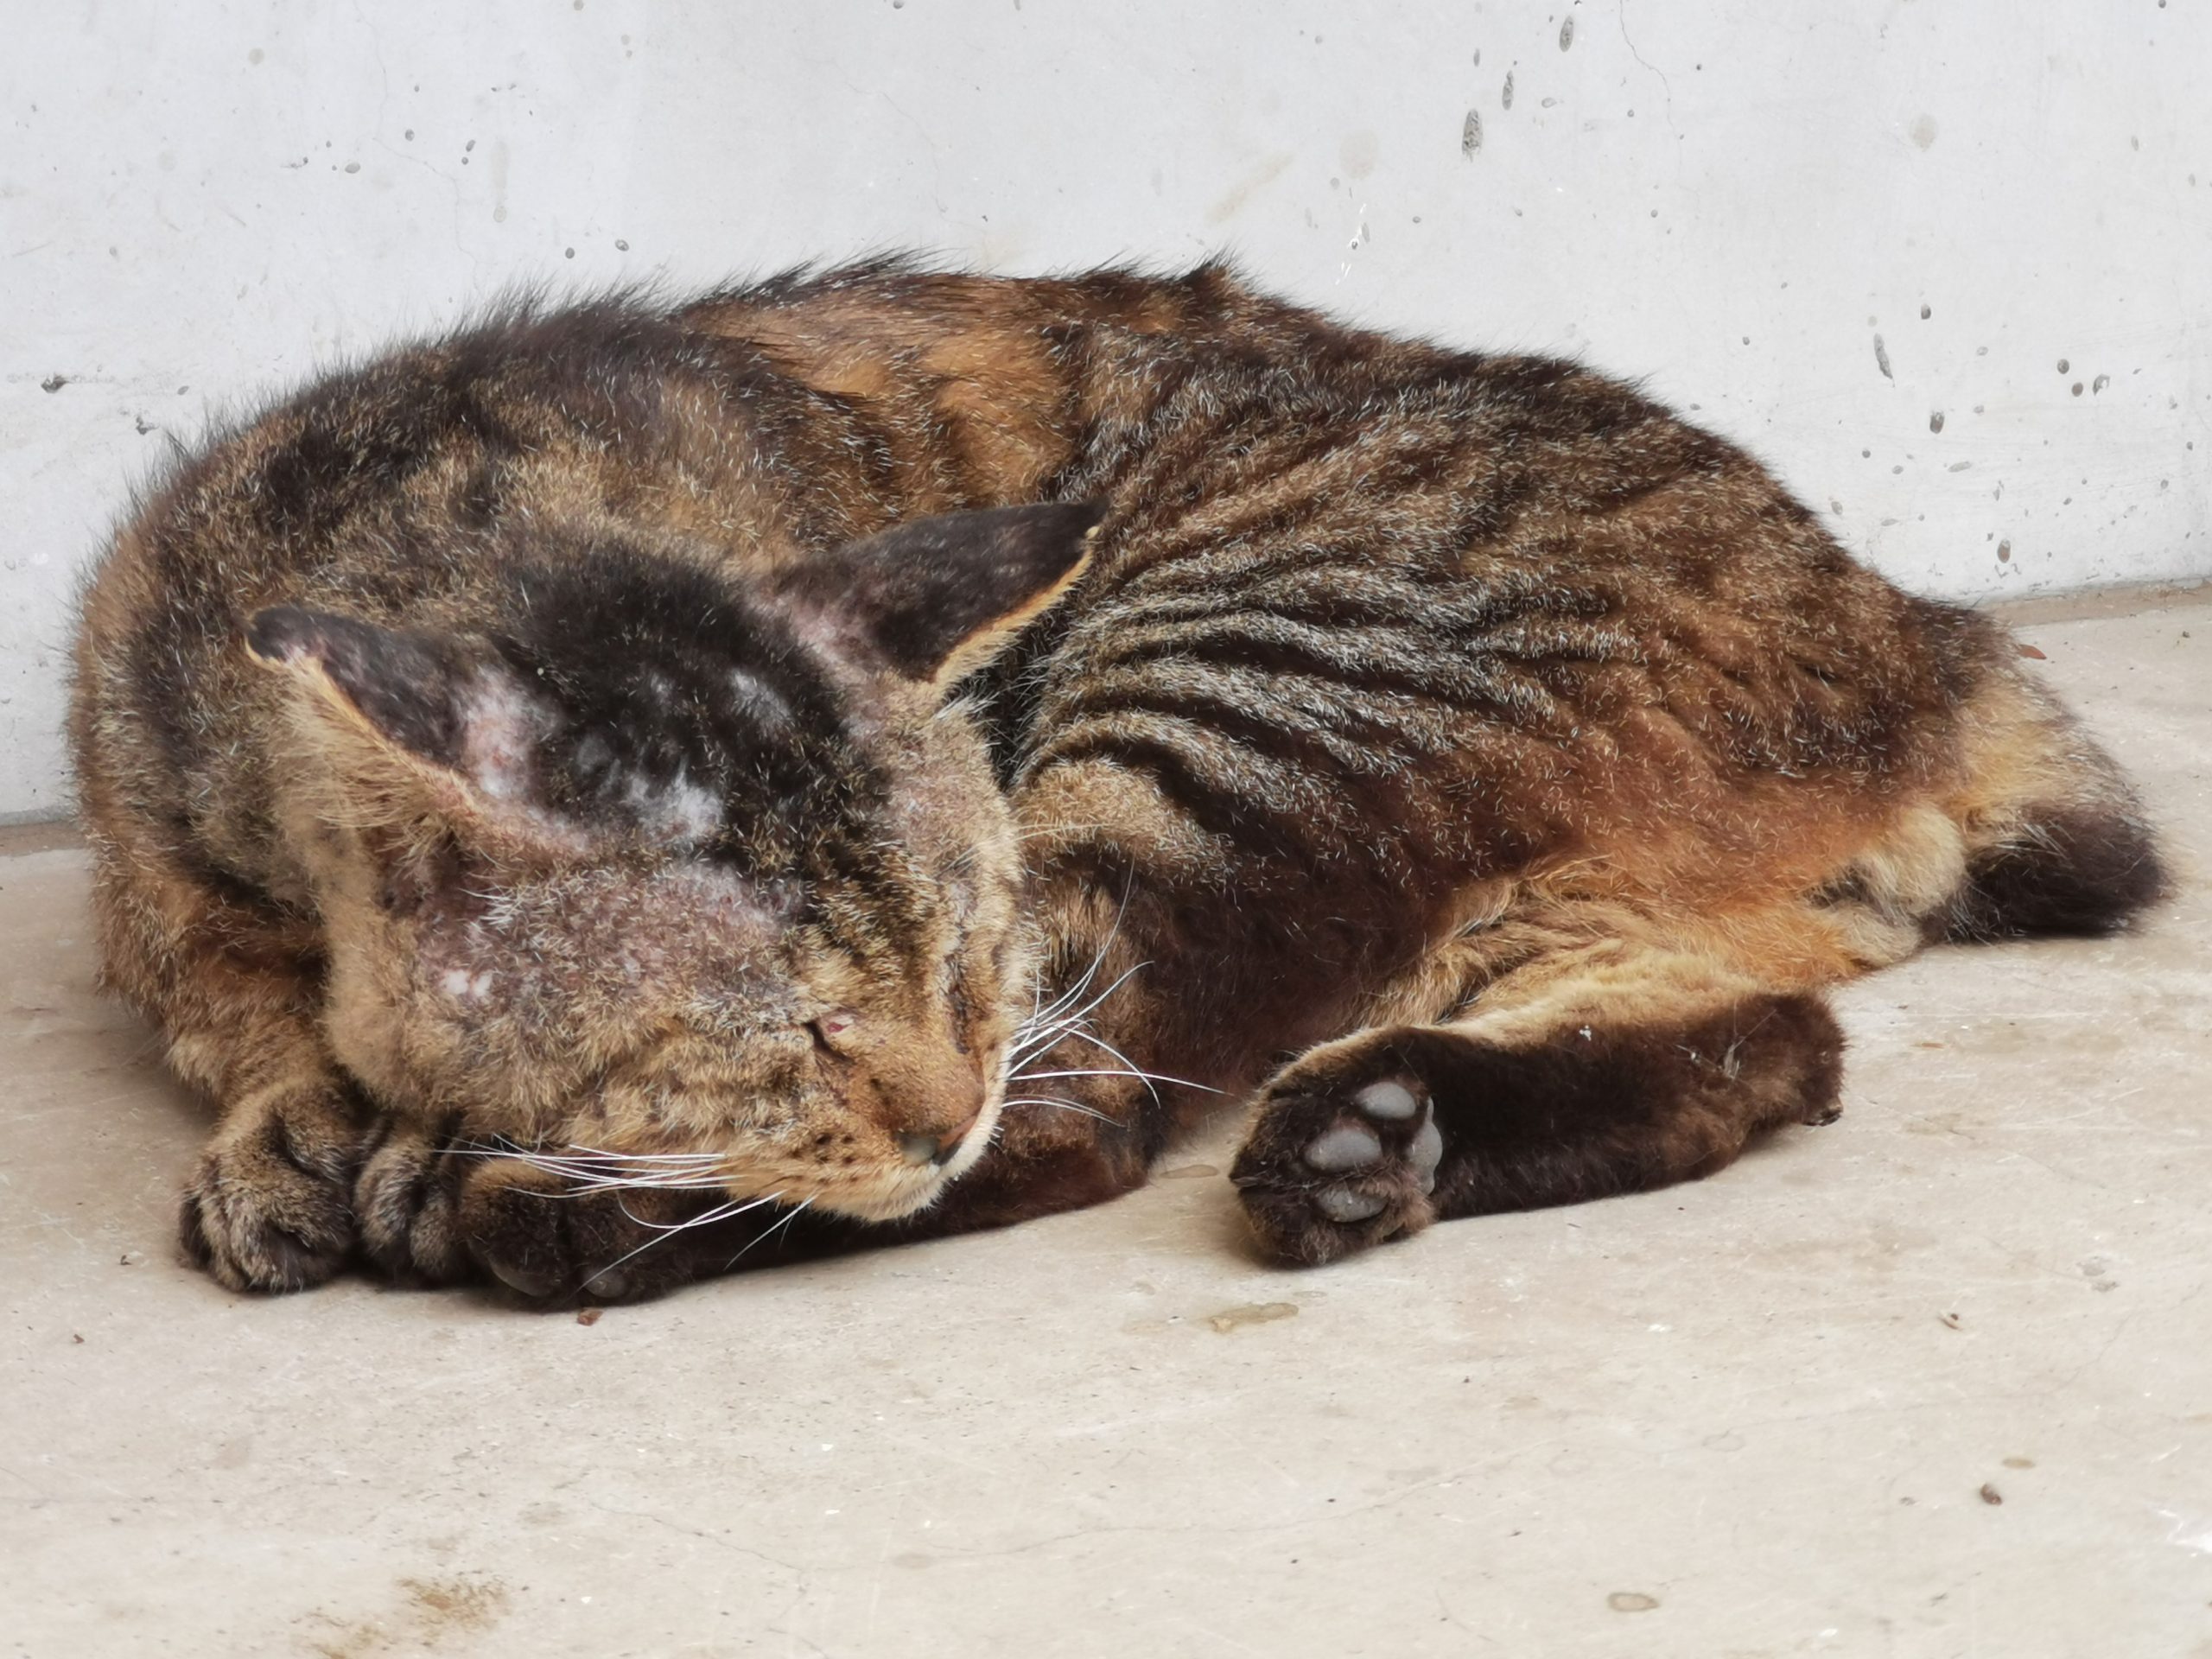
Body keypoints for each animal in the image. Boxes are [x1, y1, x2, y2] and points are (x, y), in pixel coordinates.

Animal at [64, 259, 2158, 1309]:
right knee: (1774, 1049)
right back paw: (1378, 1140)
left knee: (1083, 1120)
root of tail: (1920, 629)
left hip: (1220, 703)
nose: (937, 1093)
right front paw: (294, 1113)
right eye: (795, 1023)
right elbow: (249, 1009)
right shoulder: (156, 865)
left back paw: (545, 1210)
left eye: (959, 957)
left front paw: (402, 1139)